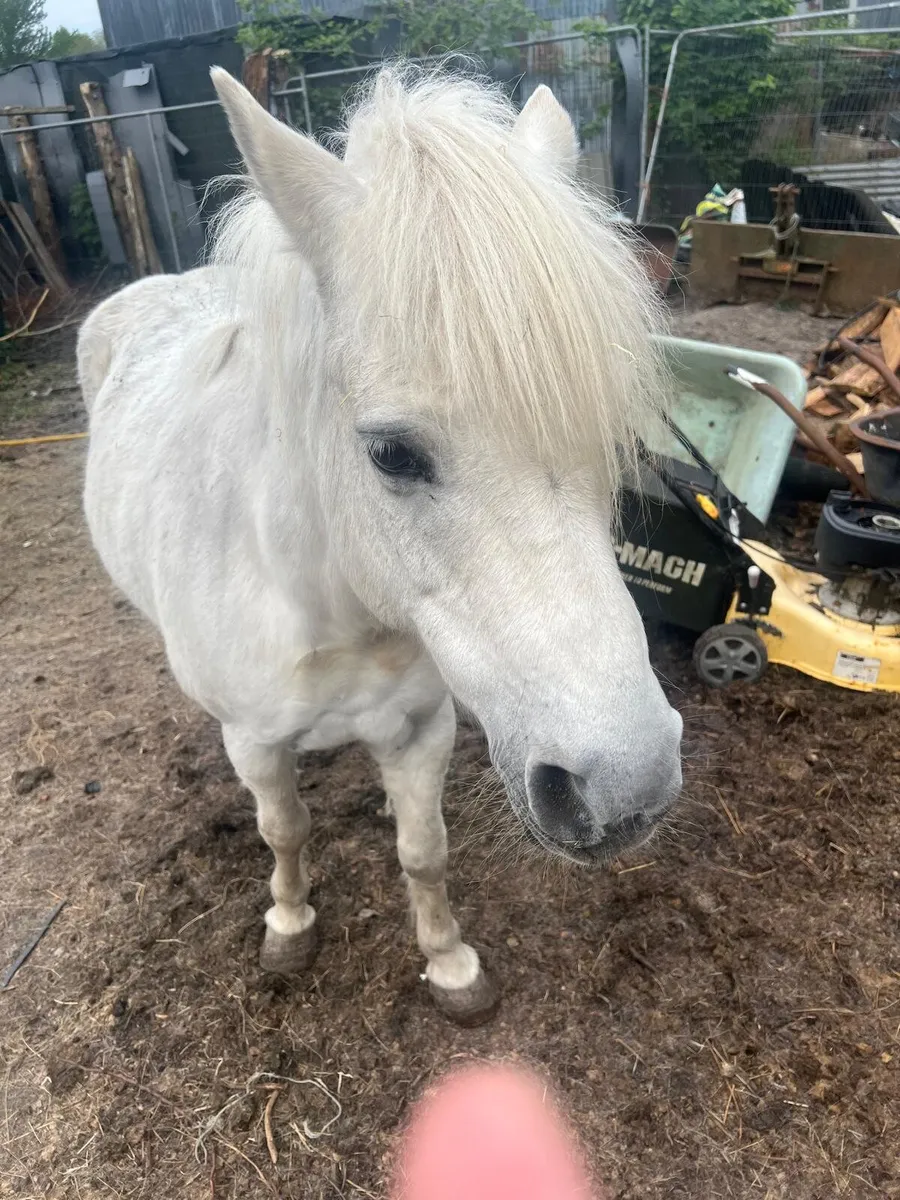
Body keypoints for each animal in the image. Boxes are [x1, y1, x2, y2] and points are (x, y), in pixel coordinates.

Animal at [77, 64, 683, 1024]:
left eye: (614, 438)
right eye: (393, 454)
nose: (629, 789)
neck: (328, 606)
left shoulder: (421, 729)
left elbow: (424, 853)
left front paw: (450, 964)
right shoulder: (256, 743)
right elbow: (283, 831)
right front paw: (289, 925)